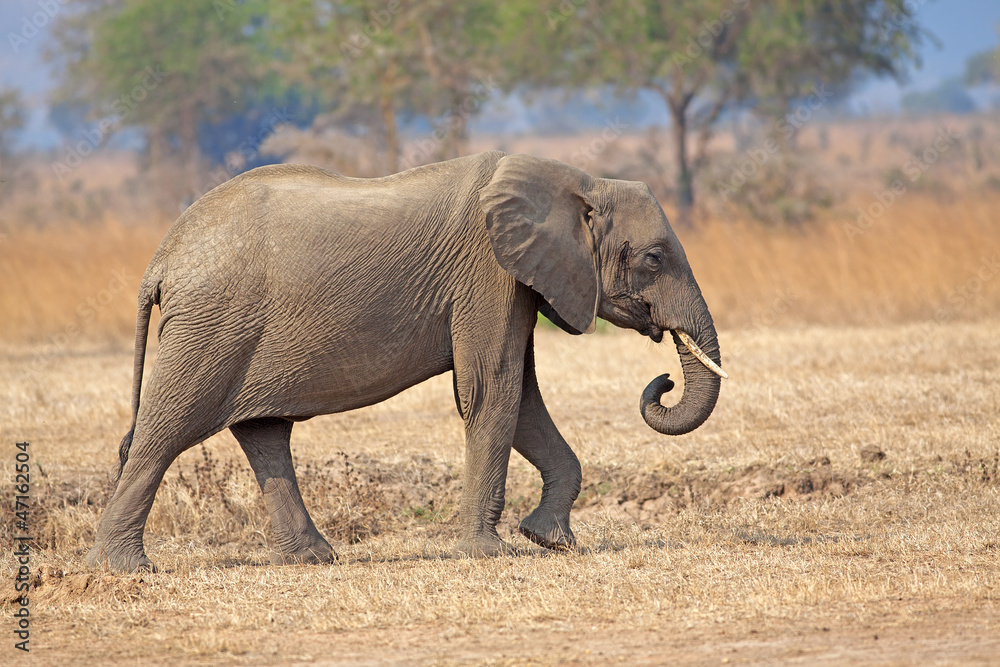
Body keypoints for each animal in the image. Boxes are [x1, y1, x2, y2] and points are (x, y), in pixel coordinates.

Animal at [86, 151, 726, 572]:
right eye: (653, 258)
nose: (663, 381)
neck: (578, 180)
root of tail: (160, 261)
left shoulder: (515, 281)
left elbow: (520, 397)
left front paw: (551, 540)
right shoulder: (488, 273)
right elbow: (491, 391)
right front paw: (488, 554)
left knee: (262, 431)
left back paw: (314, 559)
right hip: (211, 325)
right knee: (165, 432)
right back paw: (121, 569)